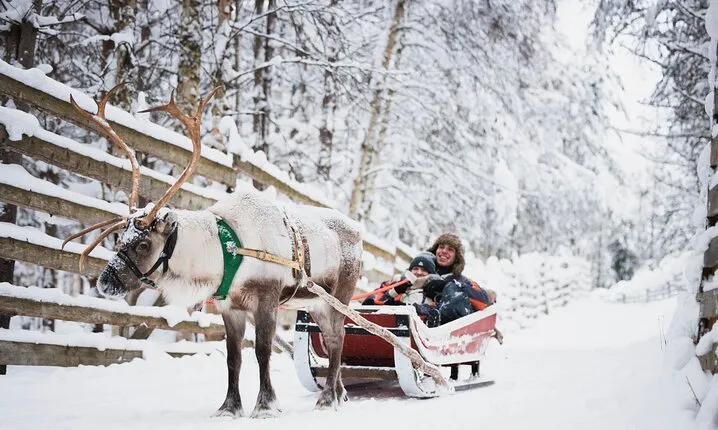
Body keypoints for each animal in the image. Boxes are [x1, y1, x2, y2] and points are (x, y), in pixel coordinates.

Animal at [62, 84, 363, 417]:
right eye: (119, 239)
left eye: (143, 243)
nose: (105, 282)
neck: (224, 250)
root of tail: (357, 231)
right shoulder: (229, 306)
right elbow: (234, 358)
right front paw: (229, 407)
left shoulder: (266, 298)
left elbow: (262, 351)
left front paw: (265, 405)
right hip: (315, 302)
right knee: (336, 337)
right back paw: (339, 394)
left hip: (339, 296)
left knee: (337, 337)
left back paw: (327, 399)